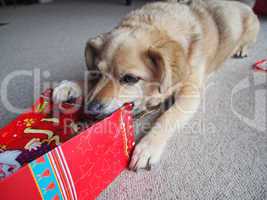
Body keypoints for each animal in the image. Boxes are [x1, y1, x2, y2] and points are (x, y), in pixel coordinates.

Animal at [53, 0, 260, 171]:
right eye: (97, 71)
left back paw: (241, 48)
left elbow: (167, 117)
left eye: (129, 79)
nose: (90, 109)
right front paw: (70, 86)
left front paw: (148, 146)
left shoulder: (190, 93)